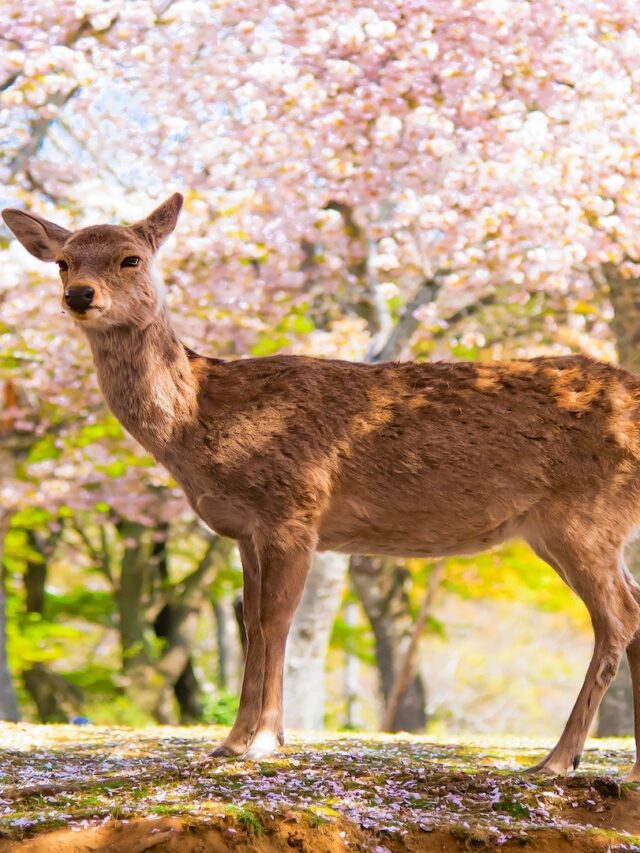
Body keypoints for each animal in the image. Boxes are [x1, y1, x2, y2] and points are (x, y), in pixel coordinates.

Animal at [4, 194, 640, 777]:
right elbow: (252, 625)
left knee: (618, 620)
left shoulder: (294, 507)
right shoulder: (245, 530)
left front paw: (263, 741)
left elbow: (275, 622)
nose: (79, 295)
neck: (200, 419)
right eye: (63, 262)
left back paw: (556, 760)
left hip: (584, 517)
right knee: (633, 611)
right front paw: (231, 741)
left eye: (130, 258)